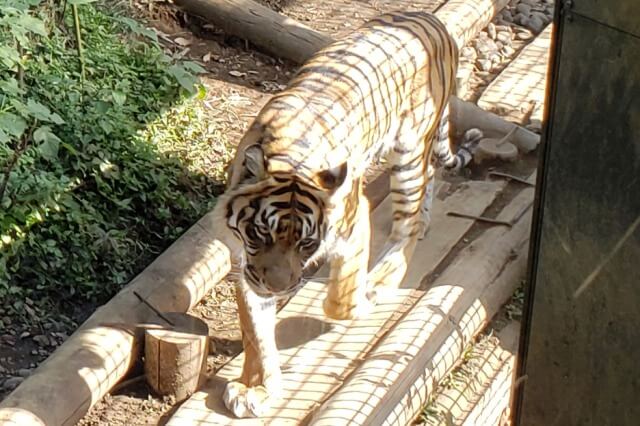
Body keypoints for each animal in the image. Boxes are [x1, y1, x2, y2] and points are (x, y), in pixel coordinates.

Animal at [212, 10, 472, 420]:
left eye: (306, 244)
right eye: (260, 234)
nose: (278, 288)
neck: (289, 155)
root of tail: (432, 20)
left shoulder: (353, 222)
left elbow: (340, 299)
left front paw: (361, 299)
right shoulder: (245, 262)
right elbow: (255, 331)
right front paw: (256, 389)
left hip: (409, 152)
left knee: (407, 224)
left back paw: (382, 277)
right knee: (429, 181)